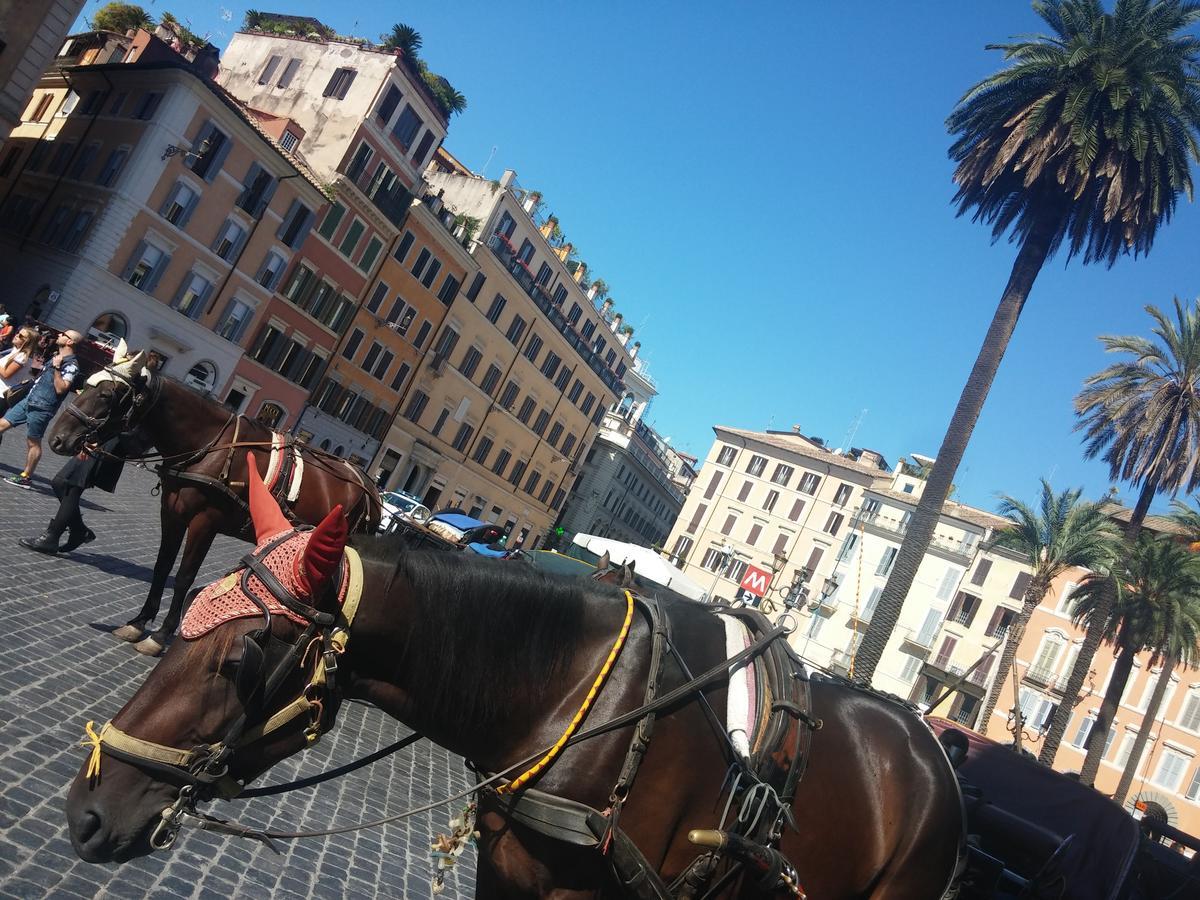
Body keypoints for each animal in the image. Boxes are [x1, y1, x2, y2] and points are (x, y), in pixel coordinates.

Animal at [46, 348, 379, 657]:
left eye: (106, 394)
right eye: (87, 382)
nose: (57, 439)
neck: (208, 446)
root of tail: (370, 488)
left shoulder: (204, 522)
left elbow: (184, 575)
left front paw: (161, 635)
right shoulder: (172, 512)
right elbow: (162, 566)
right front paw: (139, 622)